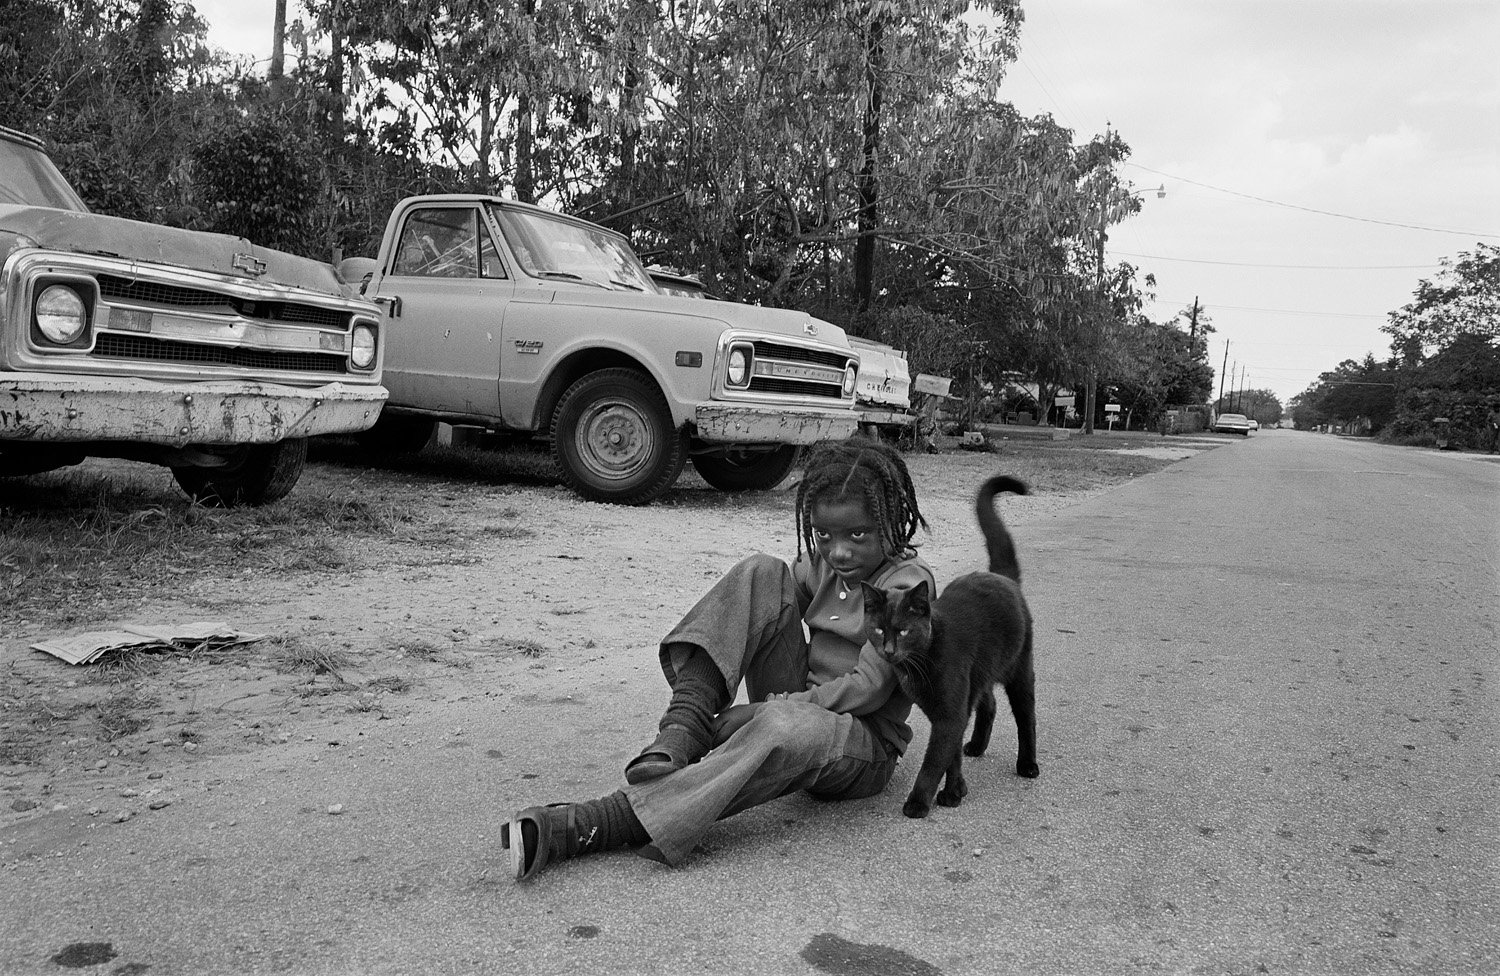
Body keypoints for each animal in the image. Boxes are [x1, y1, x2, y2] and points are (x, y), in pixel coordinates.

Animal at [864, 473, 1038, 815]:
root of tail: (1002, 577)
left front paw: (919, 802)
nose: (889, 650)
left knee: (1026, 714)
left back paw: (1028, 764)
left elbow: (934, 760)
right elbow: (951, 753)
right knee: (989, 704)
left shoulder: (949, 713)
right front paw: (956, 791)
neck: (920, 662)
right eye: (878, 630)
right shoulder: (950, 708)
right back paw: (977, 746)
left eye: (903, 632)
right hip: (980, 674)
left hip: (1019, 668)